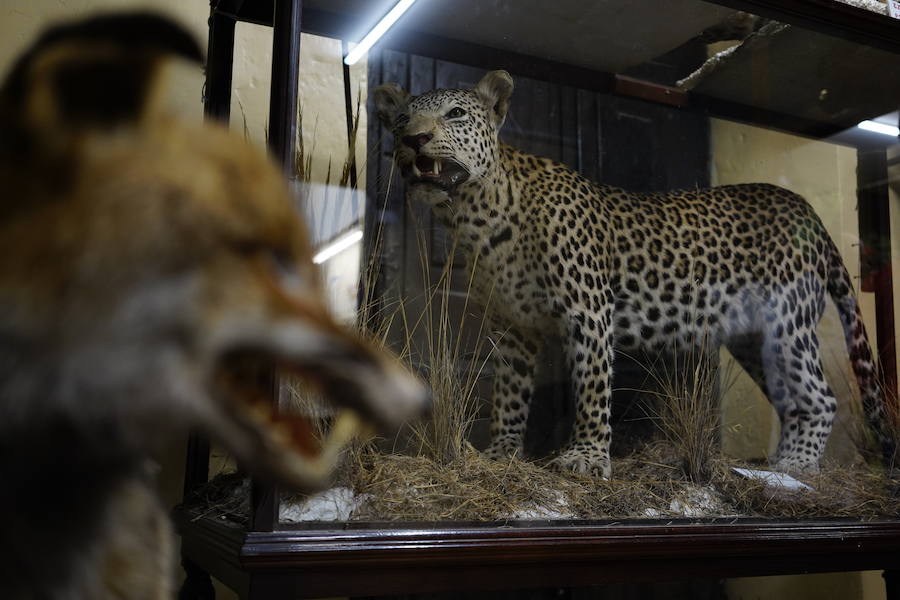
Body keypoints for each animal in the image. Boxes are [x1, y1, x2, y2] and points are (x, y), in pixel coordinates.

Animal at [372, 69, 892, 478]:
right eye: (400, 122)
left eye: (456, 114)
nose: (414, 139)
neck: (479, 215)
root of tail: (806, 208)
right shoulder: (514, 326)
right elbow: (509, 395)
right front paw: (501, 454)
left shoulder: (587, 311)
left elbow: (591, 386)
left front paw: (585, 458)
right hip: (753, 337)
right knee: (791, 399)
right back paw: (775, 464)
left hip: (788, 321)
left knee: (821, 396)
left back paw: (796, 468)